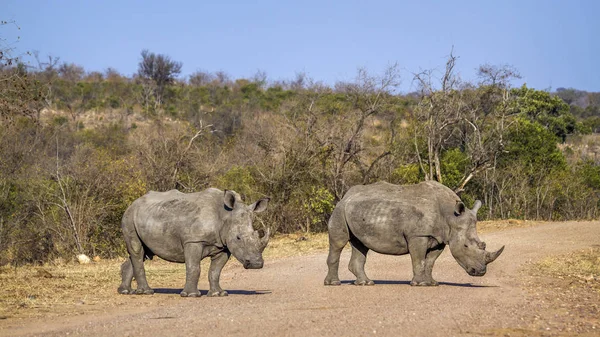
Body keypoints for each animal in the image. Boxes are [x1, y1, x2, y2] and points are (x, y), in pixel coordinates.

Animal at [118, 188, 268, 296]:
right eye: (238, 238)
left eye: (256, 235)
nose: (256, 264)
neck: (225, 215)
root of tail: (133, 203)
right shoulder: (193, 240)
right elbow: (194, 267)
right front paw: (191, 295)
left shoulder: (224, 246)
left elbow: (216, 270)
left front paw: (218, 294)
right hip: (129, 217)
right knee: (137, 250)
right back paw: (146, 292)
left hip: (148, 218)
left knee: (143, 252)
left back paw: (125, 291)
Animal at [326, 180, 504, 284]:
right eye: (466, 246)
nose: (480, 272)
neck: (450, 216)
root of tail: (345, 196)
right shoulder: (418, 235)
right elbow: (419, 259)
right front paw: (419, 283)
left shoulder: (439, 237)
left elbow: (430, 262)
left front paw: (432, 283)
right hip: (340, 210)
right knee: (339, 242)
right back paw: (334, 283)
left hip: (358, 211)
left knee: (360, 244)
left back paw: (366, 283)